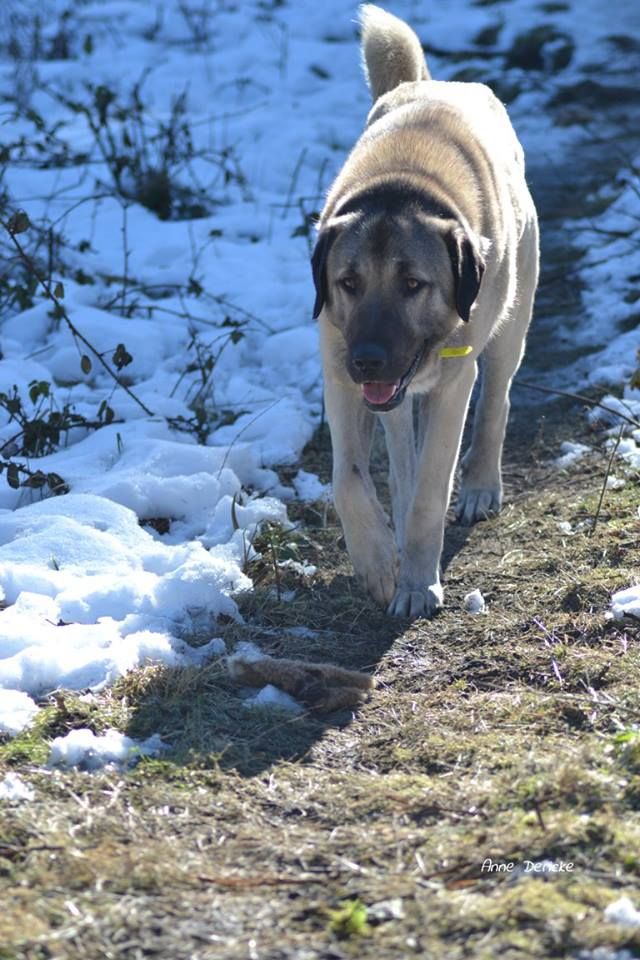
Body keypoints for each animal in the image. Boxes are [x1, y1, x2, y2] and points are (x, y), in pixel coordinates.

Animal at [312, 3, 536, 620]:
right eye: (348, 282)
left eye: (413, 283)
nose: (368, 359)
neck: (401, 187)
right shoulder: (338, 368)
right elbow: (348, 477)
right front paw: (378, 563)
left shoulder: (452, 382)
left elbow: (434, 489)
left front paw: (415, 582)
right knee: (399, 453)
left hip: (512, 320)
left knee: (498, 398)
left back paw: (481, 484)